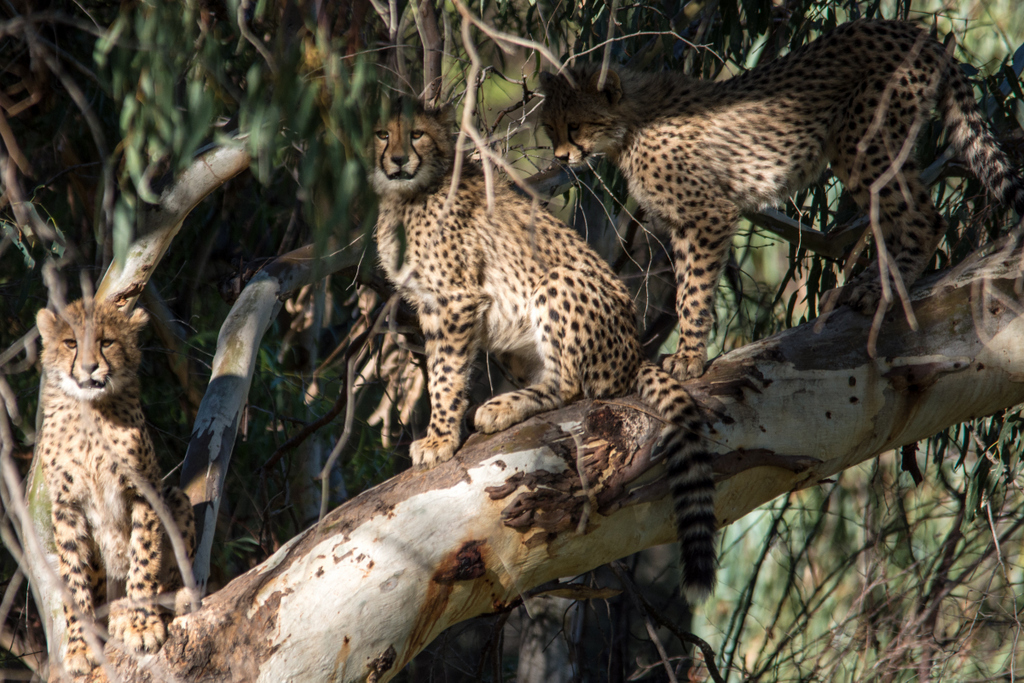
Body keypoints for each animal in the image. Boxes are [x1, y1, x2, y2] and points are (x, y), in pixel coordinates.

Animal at [35, 298, 196, 675]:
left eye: (106, 342)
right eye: (71, 343)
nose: (90, 367)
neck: (89, 411)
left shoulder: (144, 492)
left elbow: (144, 558)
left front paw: (141, 624)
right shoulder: (67, 506)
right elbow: (74, 577)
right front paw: (81, 646)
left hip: (175, 497)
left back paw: (169, 600)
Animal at [371, 100, 718, 603]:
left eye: (416, 134)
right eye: (382, 133)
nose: (396, 160)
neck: (409, 194)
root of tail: (635, 351)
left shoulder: (454, 300)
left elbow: (445, 376)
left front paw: (438, 440)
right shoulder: (432, 306)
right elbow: (439, 371)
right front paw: (440, 434)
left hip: (555, 281)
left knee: (571, 386)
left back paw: (499, 408)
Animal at [539, 18, 1024, 381]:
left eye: (575, 125)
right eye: (549, 127)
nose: (561, 157)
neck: (629, 124)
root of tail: (908, 27)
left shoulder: (708, 213)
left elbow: (693, 291)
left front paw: (689, 358)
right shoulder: (681, 223)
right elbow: (685, 286)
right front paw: (687, 351)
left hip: (863, 139)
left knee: (926, 218)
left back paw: (881, 288)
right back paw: (865, 283)